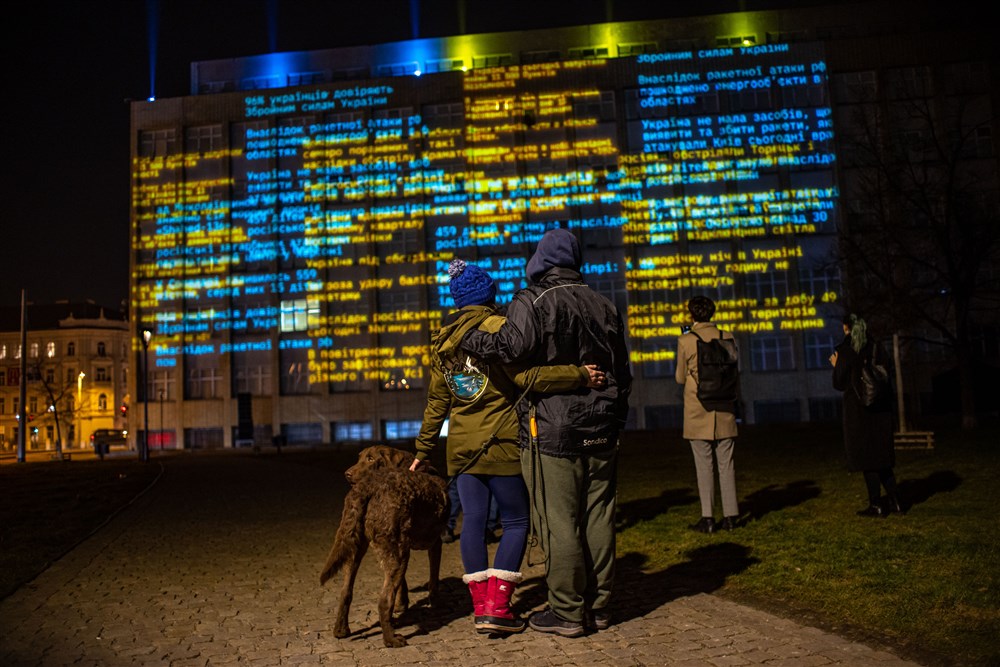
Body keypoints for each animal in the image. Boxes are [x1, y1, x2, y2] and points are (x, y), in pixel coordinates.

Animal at [320, 446, 450, 648]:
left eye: (370, 458)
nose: (347, 474)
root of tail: (367, 486)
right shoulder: (435, 542)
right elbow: (433, 578)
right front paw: (435, 603)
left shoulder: (402, 546)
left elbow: (403, 582)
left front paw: (401, 605)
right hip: (396, 553)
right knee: (383, 600)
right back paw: (391, 639)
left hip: (357, 548)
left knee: (345, 591)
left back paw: (341, 630)